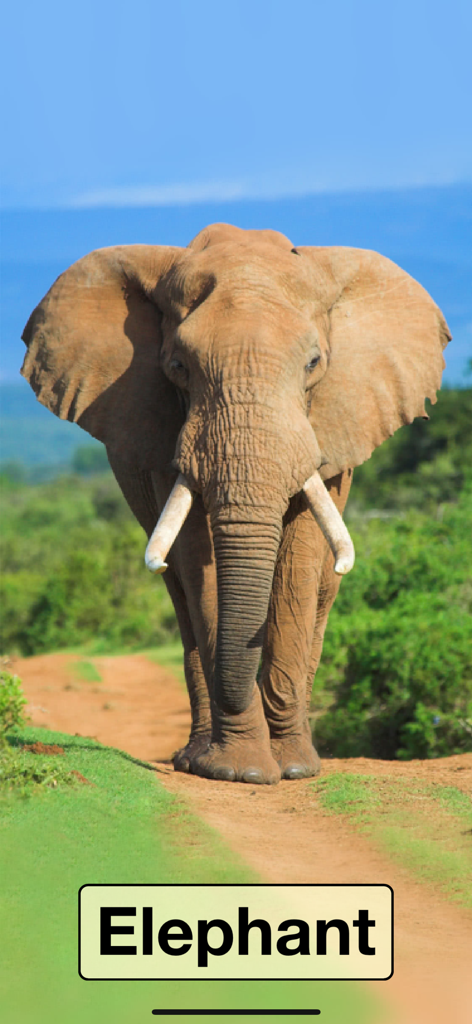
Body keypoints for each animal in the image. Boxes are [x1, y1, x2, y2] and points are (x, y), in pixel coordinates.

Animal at [21, 222, 450, 784]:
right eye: (177, 366)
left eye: (314, 363)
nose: (278, 764)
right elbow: (196, 562)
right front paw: (238, 770)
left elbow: (299, 562)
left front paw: (291, 768)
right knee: (180, 596)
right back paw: (194, 759)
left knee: (321, 594)